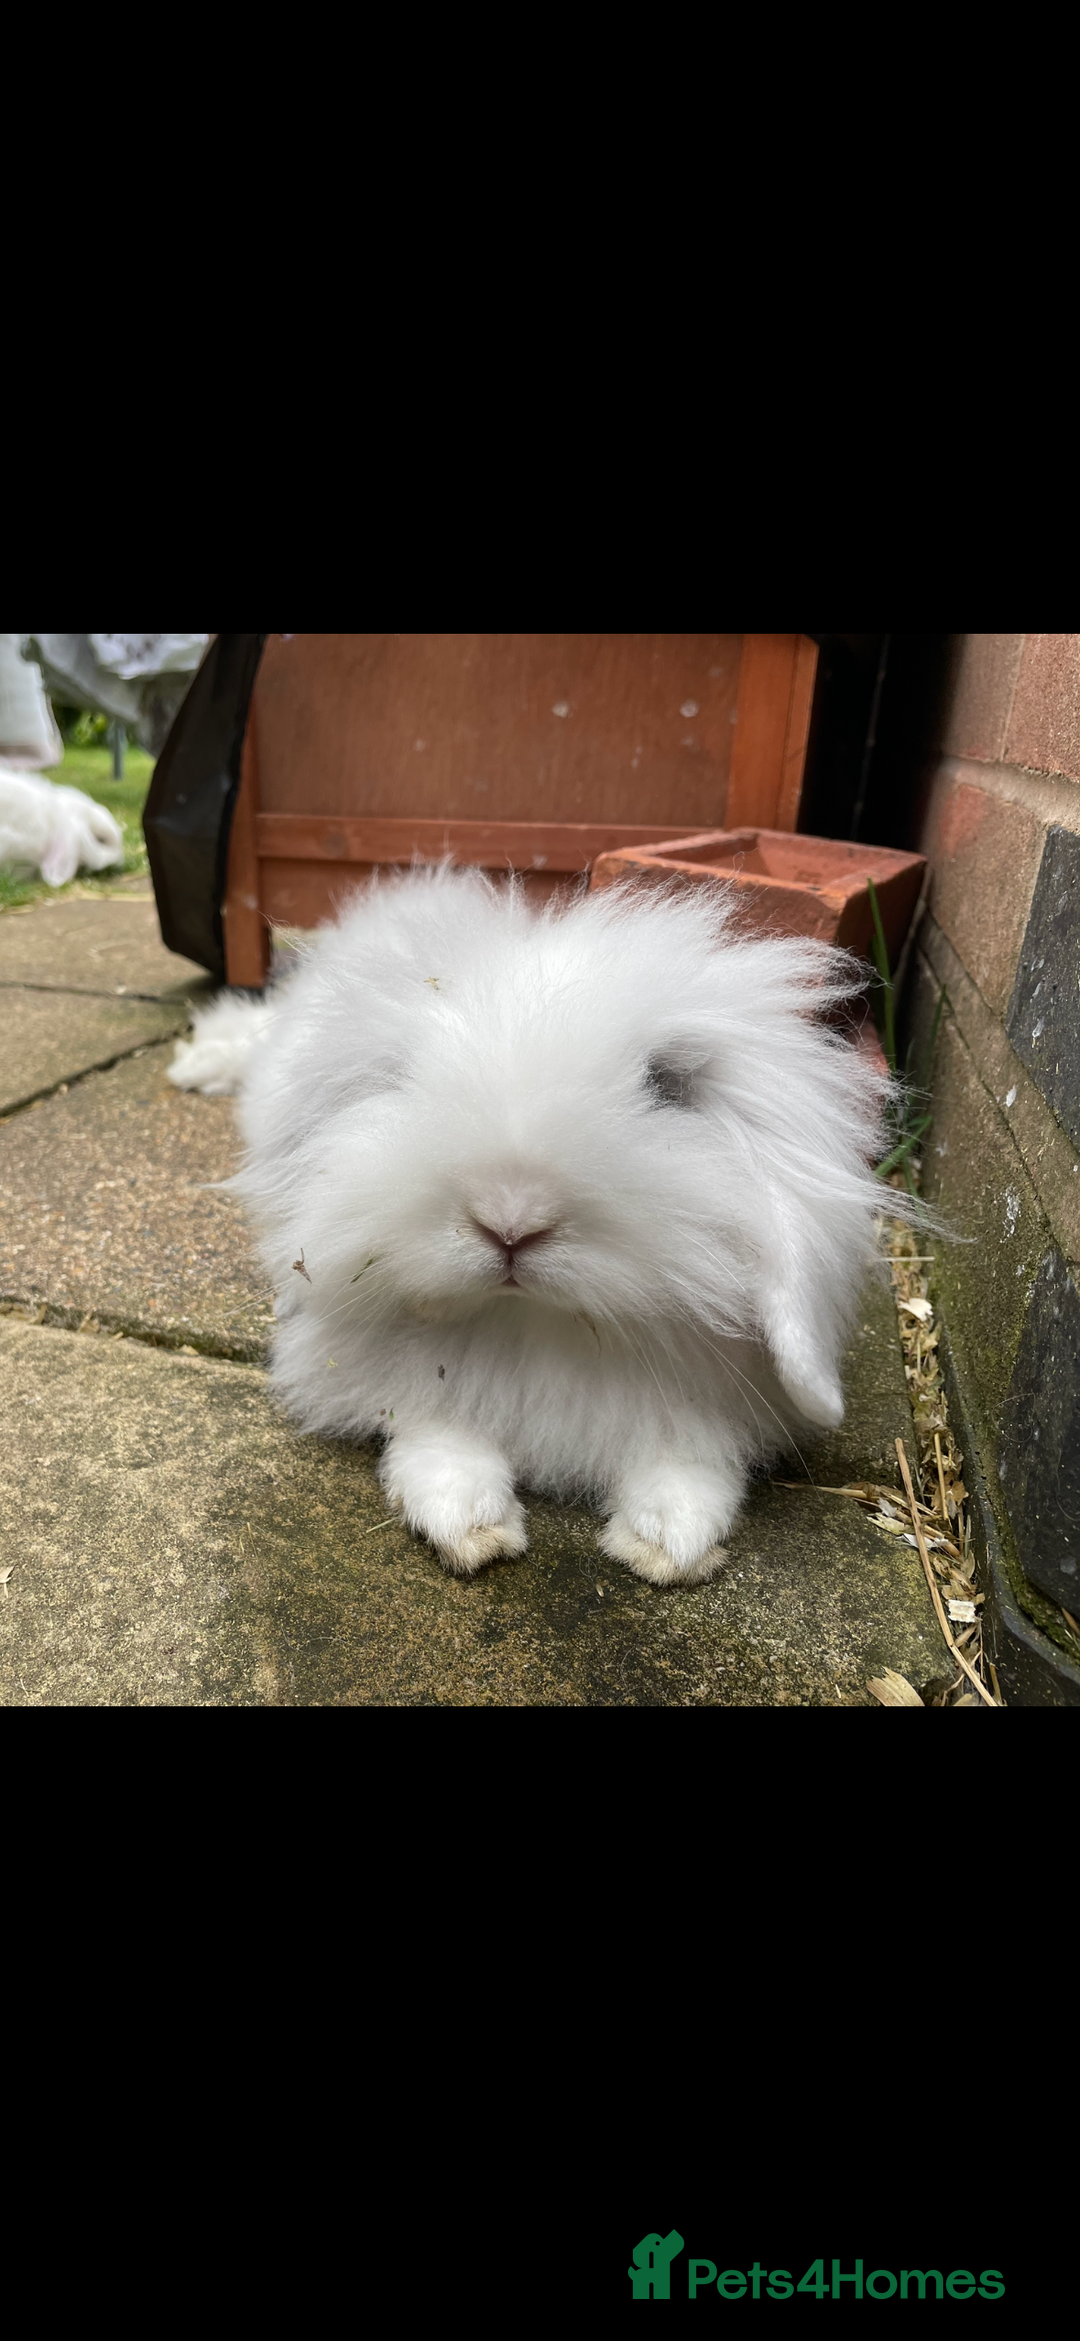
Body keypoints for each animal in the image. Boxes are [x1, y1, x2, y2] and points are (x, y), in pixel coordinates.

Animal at [168, 863, 893, 1585]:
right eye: (405, 1076)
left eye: (666, 1085)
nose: (510, 1224)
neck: (537, 1324)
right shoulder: (425, 1386)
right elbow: (442, 1442)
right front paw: (470, 1525)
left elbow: (689, 1464)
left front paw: (669, 1544)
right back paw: (196, 1066)